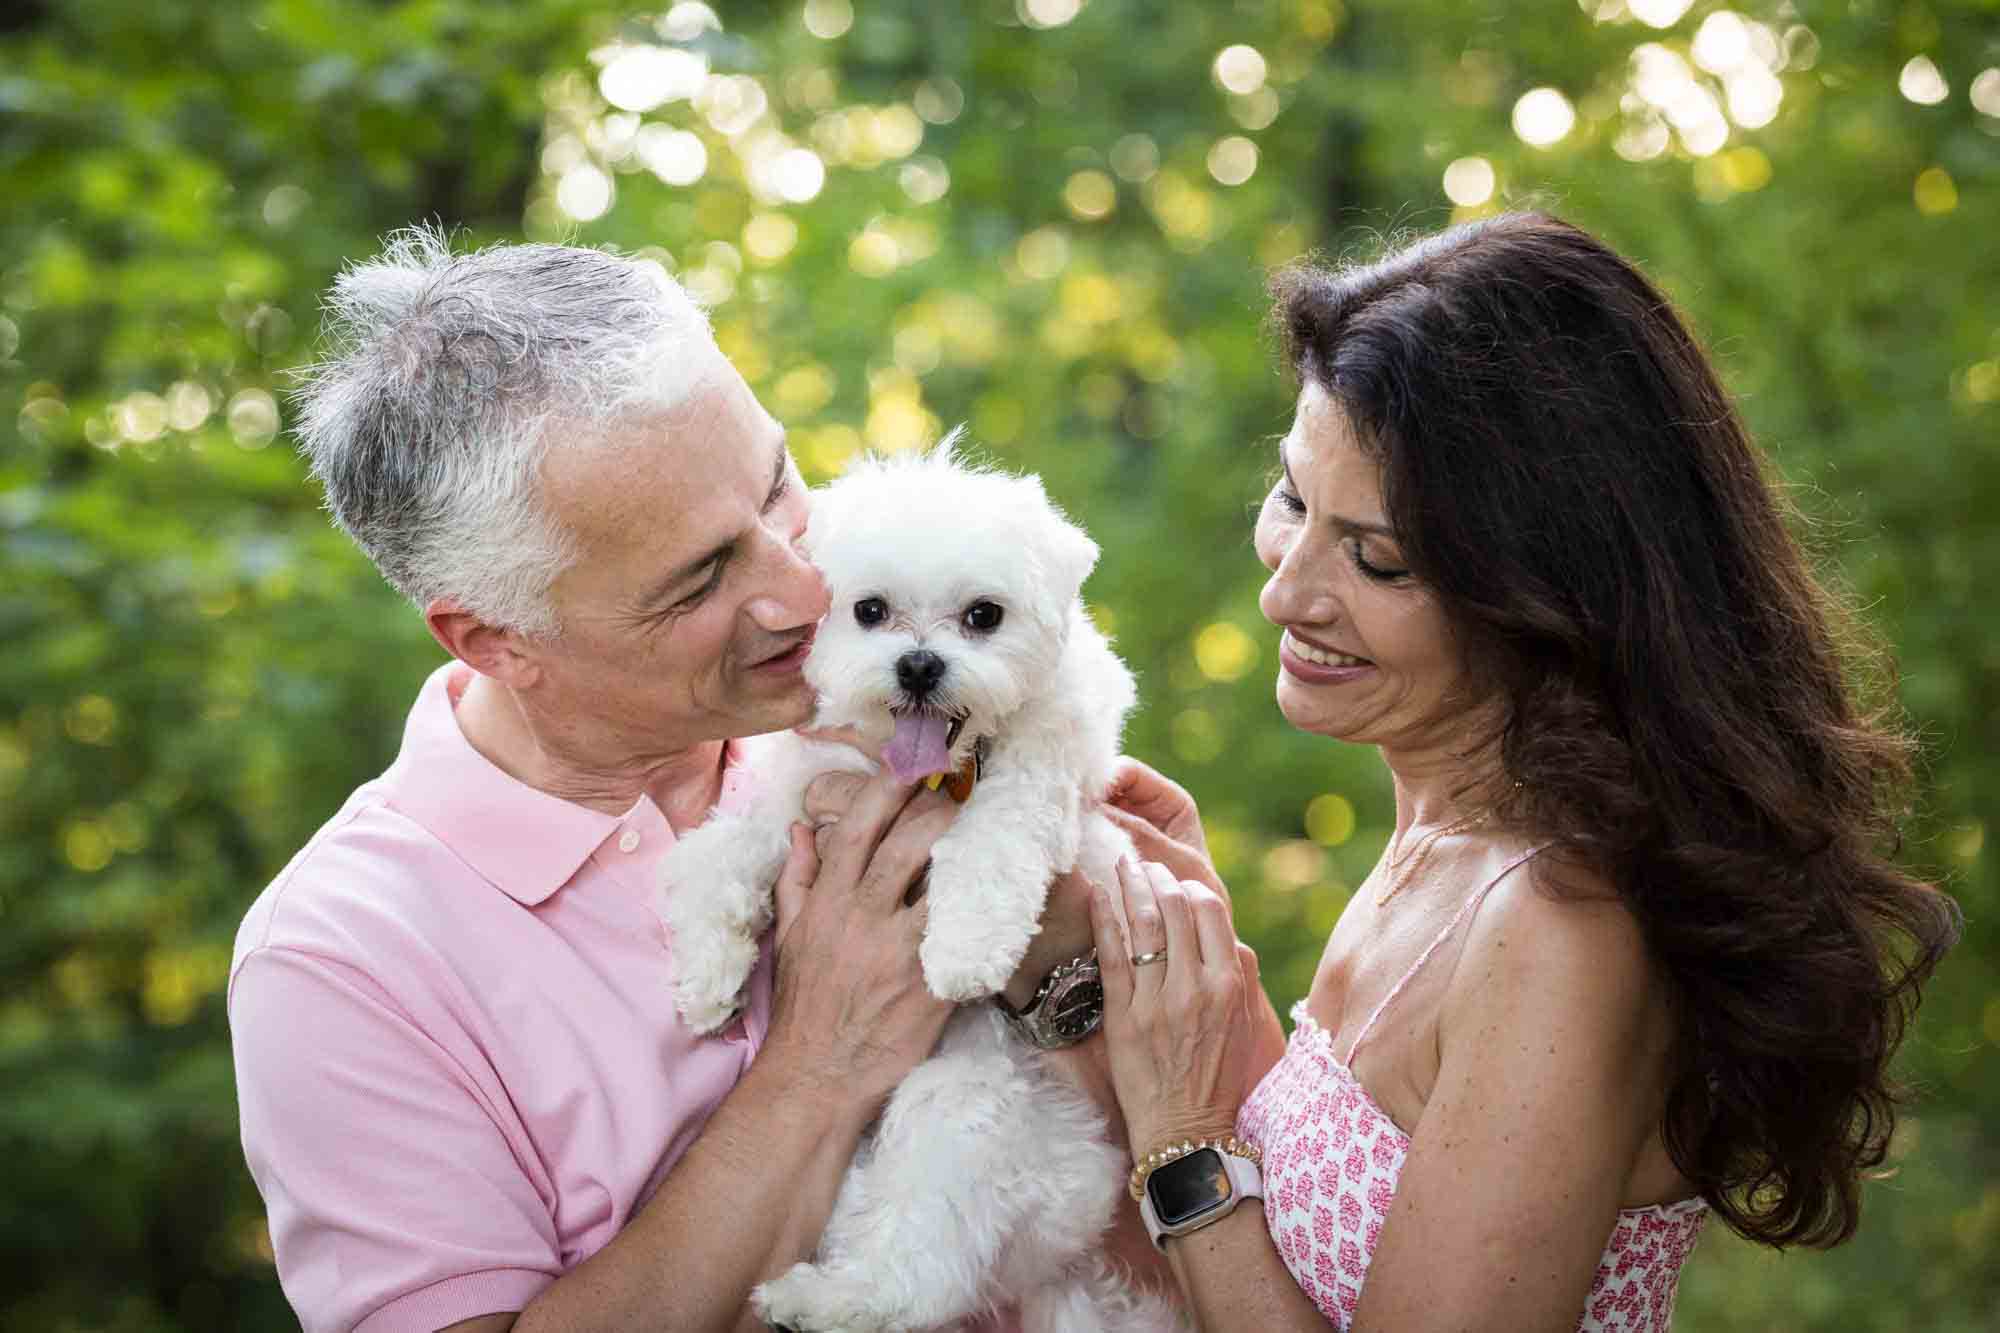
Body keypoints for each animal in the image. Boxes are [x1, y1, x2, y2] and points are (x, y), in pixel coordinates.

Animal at [656, 438, 1168, 1328]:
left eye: (983, 616)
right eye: (870, 610)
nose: (921, 664)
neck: (935, 773)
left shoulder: (1042, 774)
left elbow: (994, 840)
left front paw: (963, 948)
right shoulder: (807, 789)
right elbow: (723, 851)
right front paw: (708, 973)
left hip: (964, 1105)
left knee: (922, 1272)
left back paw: (825, 1300)